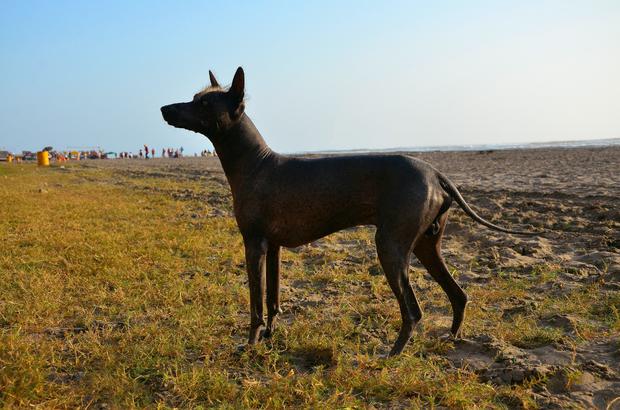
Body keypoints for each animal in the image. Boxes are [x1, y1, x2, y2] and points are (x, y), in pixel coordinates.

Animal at [161, 67, 536, 356]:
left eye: (203, 102)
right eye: (195, 96)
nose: (165, 108)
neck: (256, 163)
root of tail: (435, 173)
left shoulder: (253, 245)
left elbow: (255, 304)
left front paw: (251, 344)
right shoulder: (274, 247)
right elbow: (272, 299)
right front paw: (269, 336)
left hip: (390, 247)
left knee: (413, 312)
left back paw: (393, 354)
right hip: (426, 246)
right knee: (458, 295)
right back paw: (450, 339)